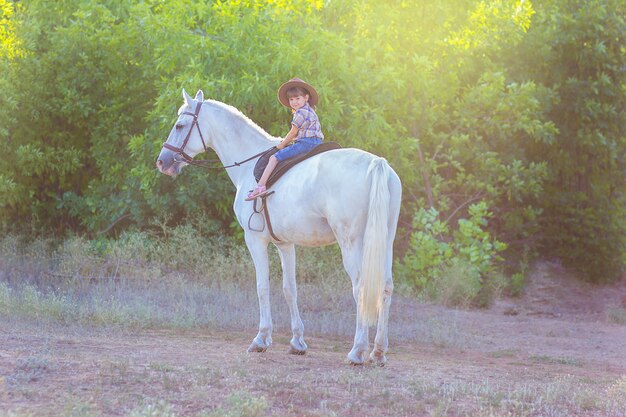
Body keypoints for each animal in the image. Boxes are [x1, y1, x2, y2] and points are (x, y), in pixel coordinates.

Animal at [155, 90, 400, 364]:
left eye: (179, 125)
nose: (162, 161)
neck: (248, 165)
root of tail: (377, 164)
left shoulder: (255, 241)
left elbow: (262, 287)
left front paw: (261, 339)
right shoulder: (285, 244)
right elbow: (289, 289)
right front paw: (297, 342)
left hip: (351, 244)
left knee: (361, 288)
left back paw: (357, 351)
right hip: (384, 242)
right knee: (386, 287)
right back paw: (378, 351)